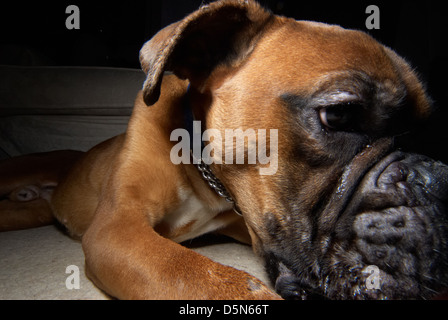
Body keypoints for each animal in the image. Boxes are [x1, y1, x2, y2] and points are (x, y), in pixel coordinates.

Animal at [0, 0, 448, 300]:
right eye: (338, 115)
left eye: (429, 132)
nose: (436, 178)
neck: (202, 174)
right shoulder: (119, 228)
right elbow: (202, 276)